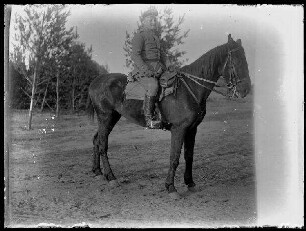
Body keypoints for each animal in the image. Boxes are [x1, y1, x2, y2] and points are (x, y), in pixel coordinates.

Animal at [86, 34, 251, 199]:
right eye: (235, 61)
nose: (246, 90)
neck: (190, 89)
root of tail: (97, 81)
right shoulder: (179, 129)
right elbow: (174, 157)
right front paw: (171, 187)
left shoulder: (192, 129)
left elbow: (188, 156)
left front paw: (190, 183)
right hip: (105, 117)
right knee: (102, 145)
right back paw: (111, 177)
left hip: (112, 118)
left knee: (96, 140)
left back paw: (98, 172)